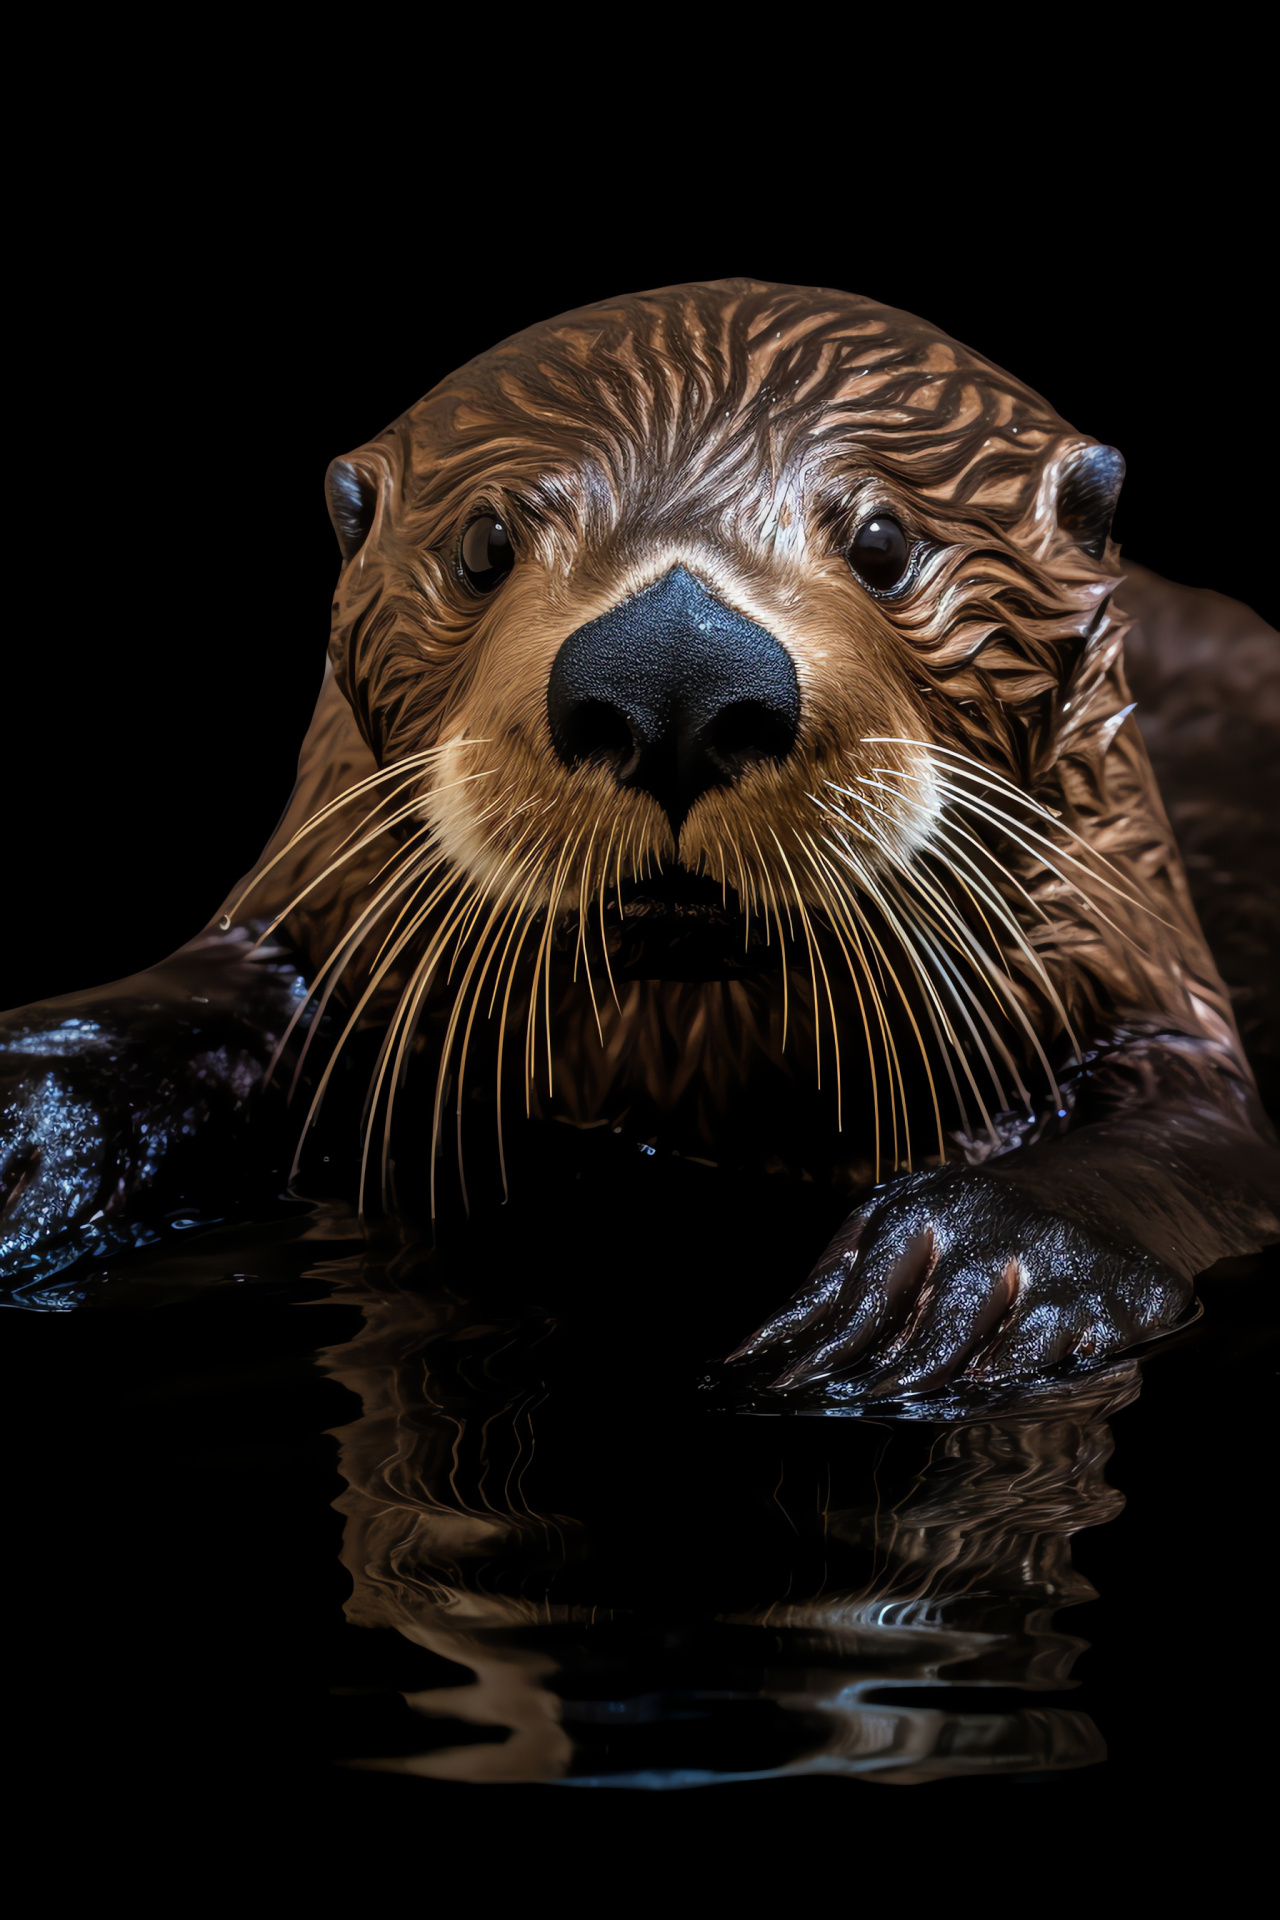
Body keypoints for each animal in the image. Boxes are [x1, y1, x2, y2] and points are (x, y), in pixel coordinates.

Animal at [2, 280, 1280, 1397]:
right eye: (483, 545)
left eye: (881, 543)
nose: (672, 671)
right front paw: (25, 1133)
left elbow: (1200, 1137)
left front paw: (961, 1275)